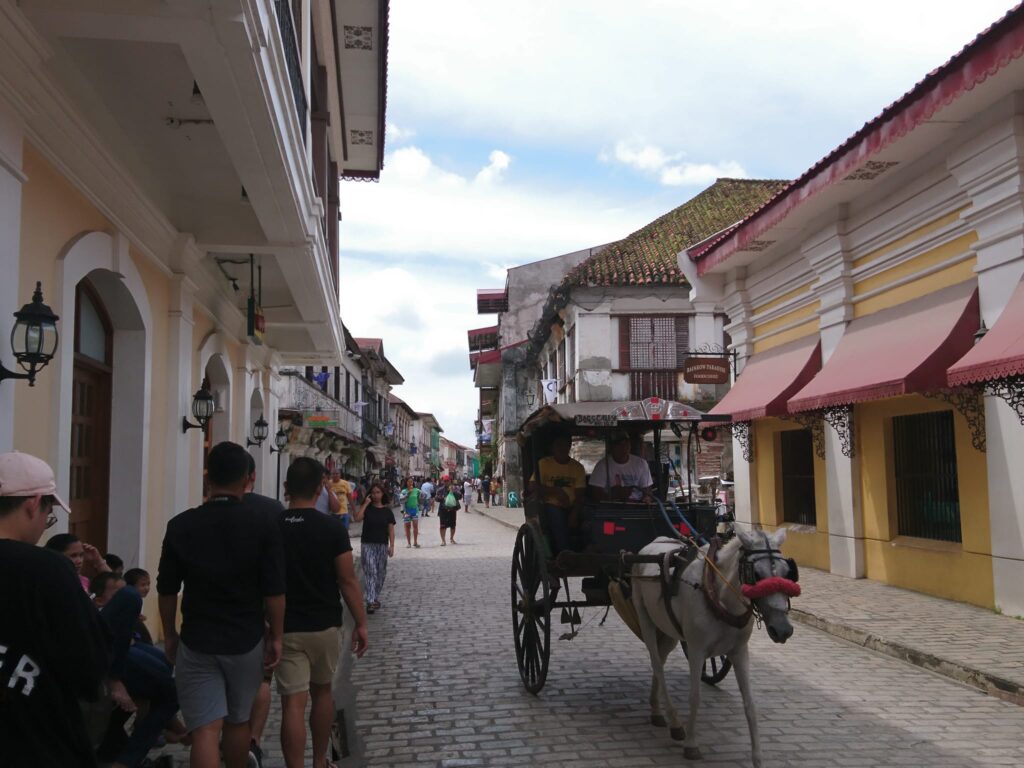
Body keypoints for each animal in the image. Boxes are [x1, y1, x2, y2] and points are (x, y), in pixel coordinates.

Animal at [630, 532, 798, 765]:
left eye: (786, 572)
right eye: (755, 574)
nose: (783, 629)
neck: (716, 593)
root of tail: (652, 543)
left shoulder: (740, 651)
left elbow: (750, 703)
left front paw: (757, 757)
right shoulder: (696, 650)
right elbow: (695, 697)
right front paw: (691, 744)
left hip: (669, 628)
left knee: (660, 660)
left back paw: (656, 709)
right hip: (644, 616)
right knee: (656, 664)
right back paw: (674, 722)